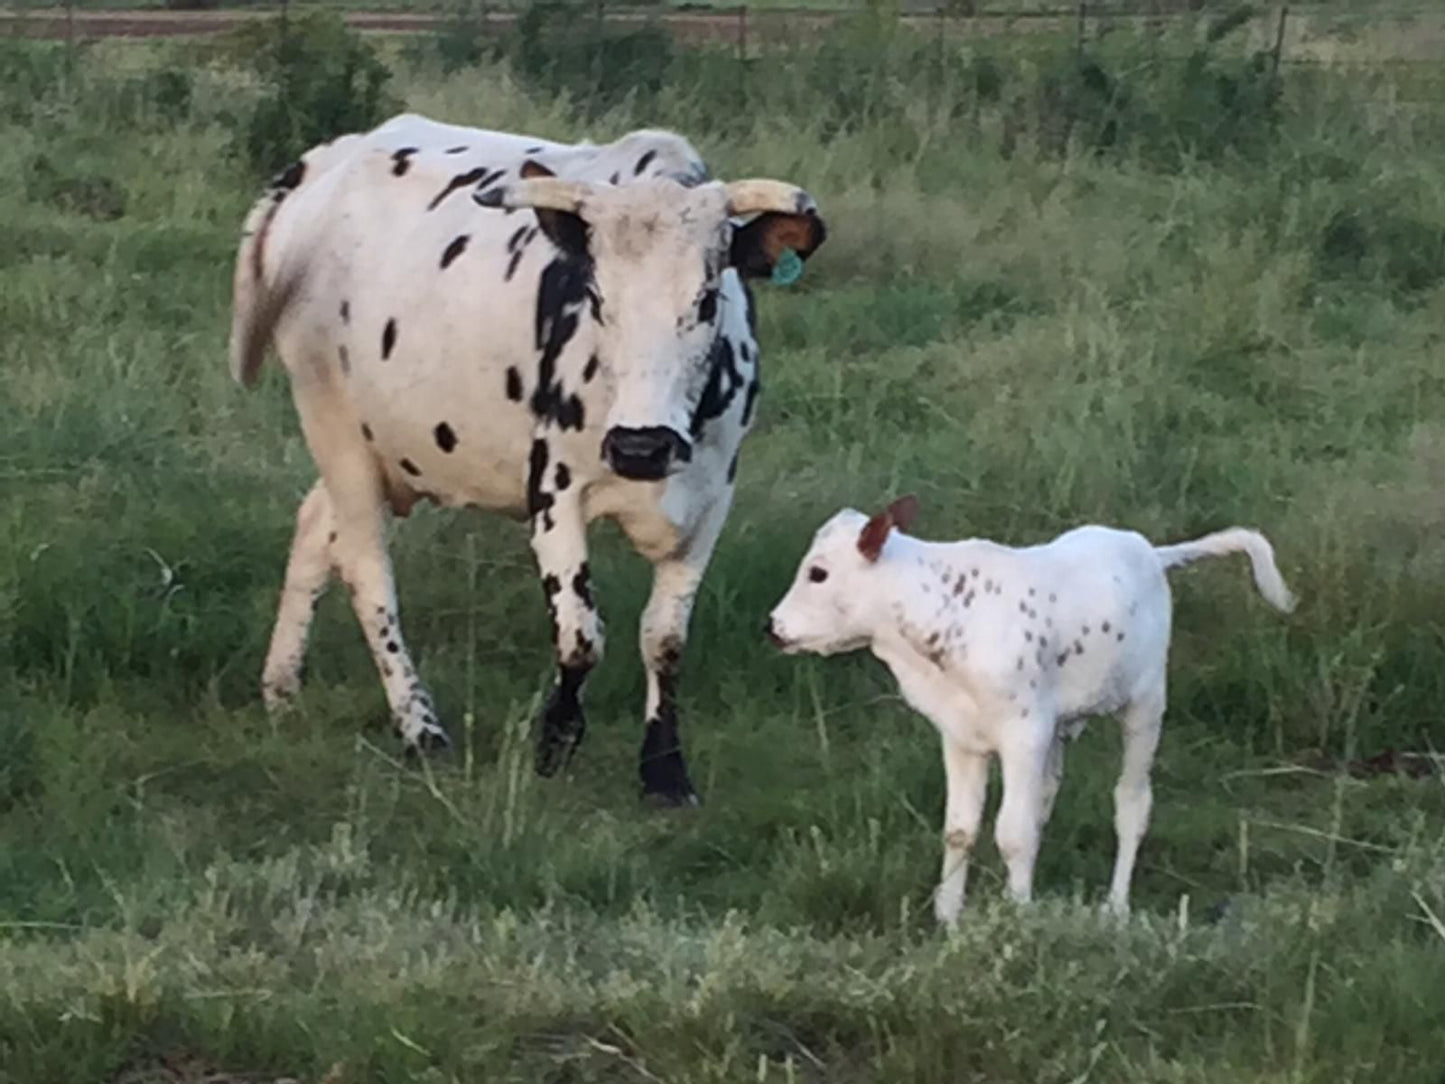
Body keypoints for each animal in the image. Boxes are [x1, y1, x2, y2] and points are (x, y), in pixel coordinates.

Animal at [232, 114, 832, 809]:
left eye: (708, 298)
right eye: (596, 295)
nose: (641, 446)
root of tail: (323, 164)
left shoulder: (711, 499)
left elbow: (664, 639)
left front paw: (664, 771)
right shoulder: (554, 491)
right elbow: (580, 634)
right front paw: (555, 744)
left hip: (381, 445)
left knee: (313, 525)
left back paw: (281, 686)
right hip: (334, 426)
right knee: (365, 569)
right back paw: (420, 727)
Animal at [768, 497, 1300, 919]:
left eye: (818, 573)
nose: (772, 626)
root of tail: (1148, 550)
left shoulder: (1024, 733)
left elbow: (1013, 832)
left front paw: (1017, 916)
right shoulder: (962, 737)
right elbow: (960, 829)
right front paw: (948, 918)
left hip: (1146, 705)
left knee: (1131, 803)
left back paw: (1116, 907)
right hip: (1063, 728)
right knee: (1047, 797)